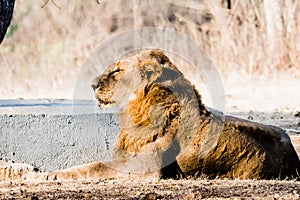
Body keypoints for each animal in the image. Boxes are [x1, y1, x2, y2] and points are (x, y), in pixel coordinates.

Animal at [5, 48, 300, 181]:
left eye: (117, 70)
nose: (92, 84)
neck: (136, 108)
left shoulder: (144, 168)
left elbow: (92, 166)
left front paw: (42, 176)